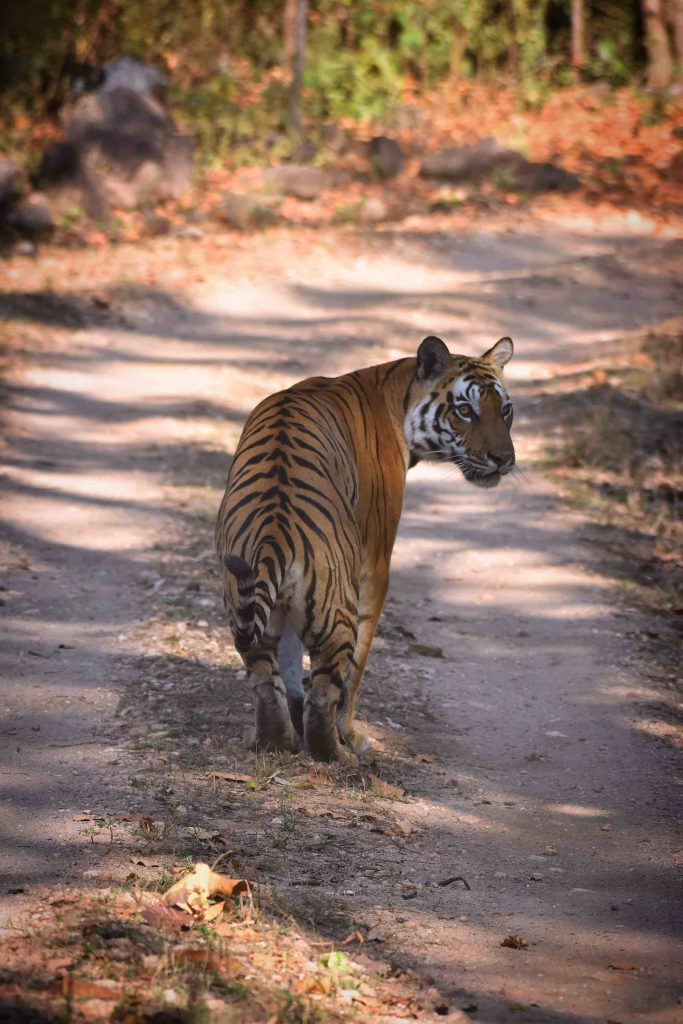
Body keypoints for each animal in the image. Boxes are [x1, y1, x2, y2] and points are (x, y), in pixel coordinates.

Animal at [216, 333, 516, 761]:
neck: (397, 391)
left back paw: (276, 740)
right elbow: (355, 671)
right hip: (338, 611)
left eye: (505, 410)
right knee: (327, 691)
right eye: (465, 411)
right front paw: (349, 732)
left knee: (264, 674)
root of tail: (274, 531)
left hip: (247, 604)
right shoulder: (375, 563)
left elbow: (290, 659)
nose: (504, 460)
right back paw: (341, 750)